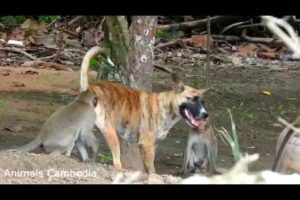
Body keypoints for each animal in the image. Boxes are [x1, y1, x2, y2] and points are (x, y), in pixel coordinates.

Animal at [81, 47, 210, 173]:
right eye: (191, 99)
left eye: (202, 102)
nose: (205, 115)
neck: (166, 106)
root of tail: (90, 87)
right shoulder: (146, 144)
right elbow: (152, 170)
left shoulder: (153, 146)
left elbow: (150, 167)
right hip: (110, 132)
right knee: (116, 161)